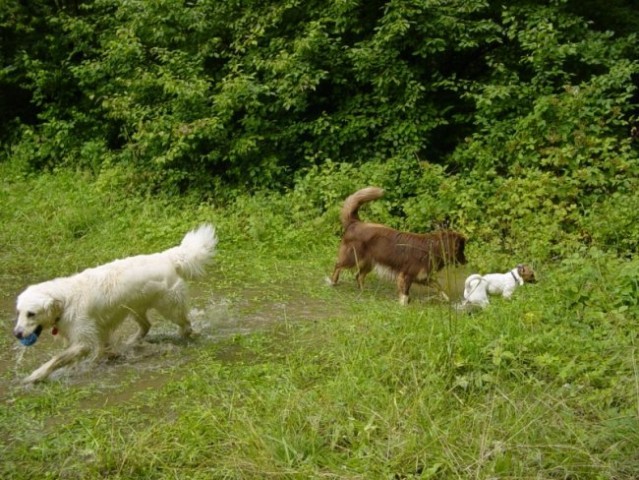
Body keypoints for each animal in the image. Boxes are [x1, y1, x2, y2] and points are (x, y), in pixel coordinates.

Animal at [11, 223, 218, 384]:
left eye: (31, 313)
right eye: (19, 312)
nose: (17, 334)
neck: (65, 300)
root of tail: (167, 255)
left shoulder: (83, 341)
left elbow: (57, 359)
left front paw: (35, 376)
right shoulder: (99, 330)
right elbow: (100, 350)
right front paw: (101, 360)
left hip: (168, 307)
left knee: (185, 323)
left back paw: (182, 336)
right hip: (135, 308)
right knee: (146, 325)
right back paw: (132, 342)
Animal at [332, 187, 468, 304]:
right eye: (461, 250)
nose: (466, 261)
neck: (431, 248)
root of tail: (355, 223)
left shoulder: (422, 277)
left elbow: (437, 285)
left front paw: (446, 298)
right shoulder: (405, 275)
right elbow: (405, 293)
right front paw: (404, 305)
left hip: (369, 262)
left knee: (358, 276)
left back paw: (363, 291)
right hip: (352, 257)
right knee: (338, 265)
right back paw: (333, 282)